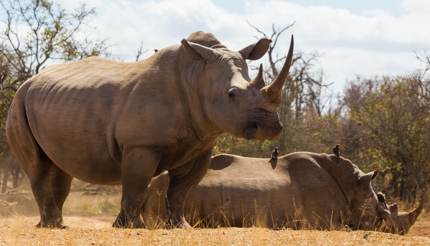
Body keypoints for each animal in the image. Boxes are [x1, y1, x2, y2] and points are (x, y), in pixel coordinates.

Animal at [6, 31, 294, 229]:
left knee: (59, 166)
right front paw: (131, 227)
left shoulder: (200, 145)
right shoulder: (141, 144)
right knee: (37, 165)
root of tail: (29, 81)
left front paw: (180, 226)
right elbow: (137, 184)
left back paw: (55, 224)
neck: (196, 76)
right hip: (18, 104)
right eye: (232, 94)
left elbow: (181, 190)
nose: (270, 126)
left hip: (53, 103)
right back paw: (53, 225)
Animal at [144, 150, 396, 231]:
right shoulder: (324, 220)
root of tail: (149, 184)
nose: (389, 227)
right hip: (161, 191)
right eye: (380, 206)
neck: (353, 183)